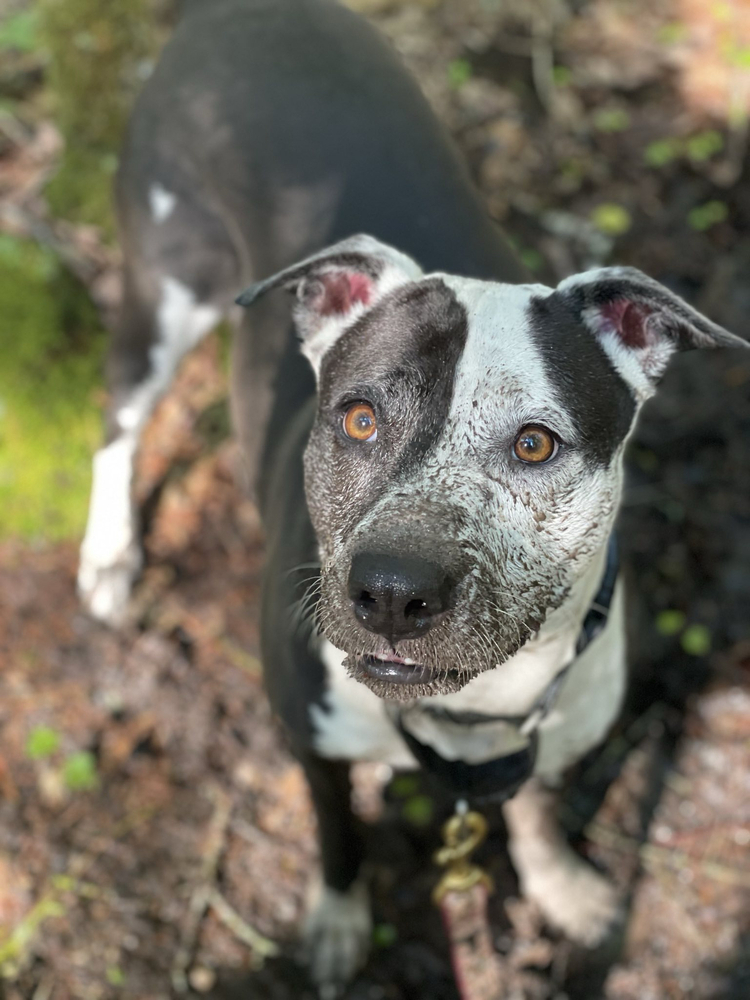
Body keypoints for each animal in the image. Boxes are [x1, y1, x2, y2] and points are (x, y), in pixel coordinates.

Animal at [78, 0, 750, 984]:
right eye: (359, 419)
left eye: (536, 443)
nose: (393, 593)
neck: (472, 709)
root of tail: (243, 13)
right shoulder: (308, 739)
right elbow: (339, 835)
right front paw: (335, 924)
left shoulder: (553, 736)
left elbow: (536, 810)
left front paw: (560, 888)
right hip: (166, 289)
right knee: (118, 419)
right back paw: (109, 559)